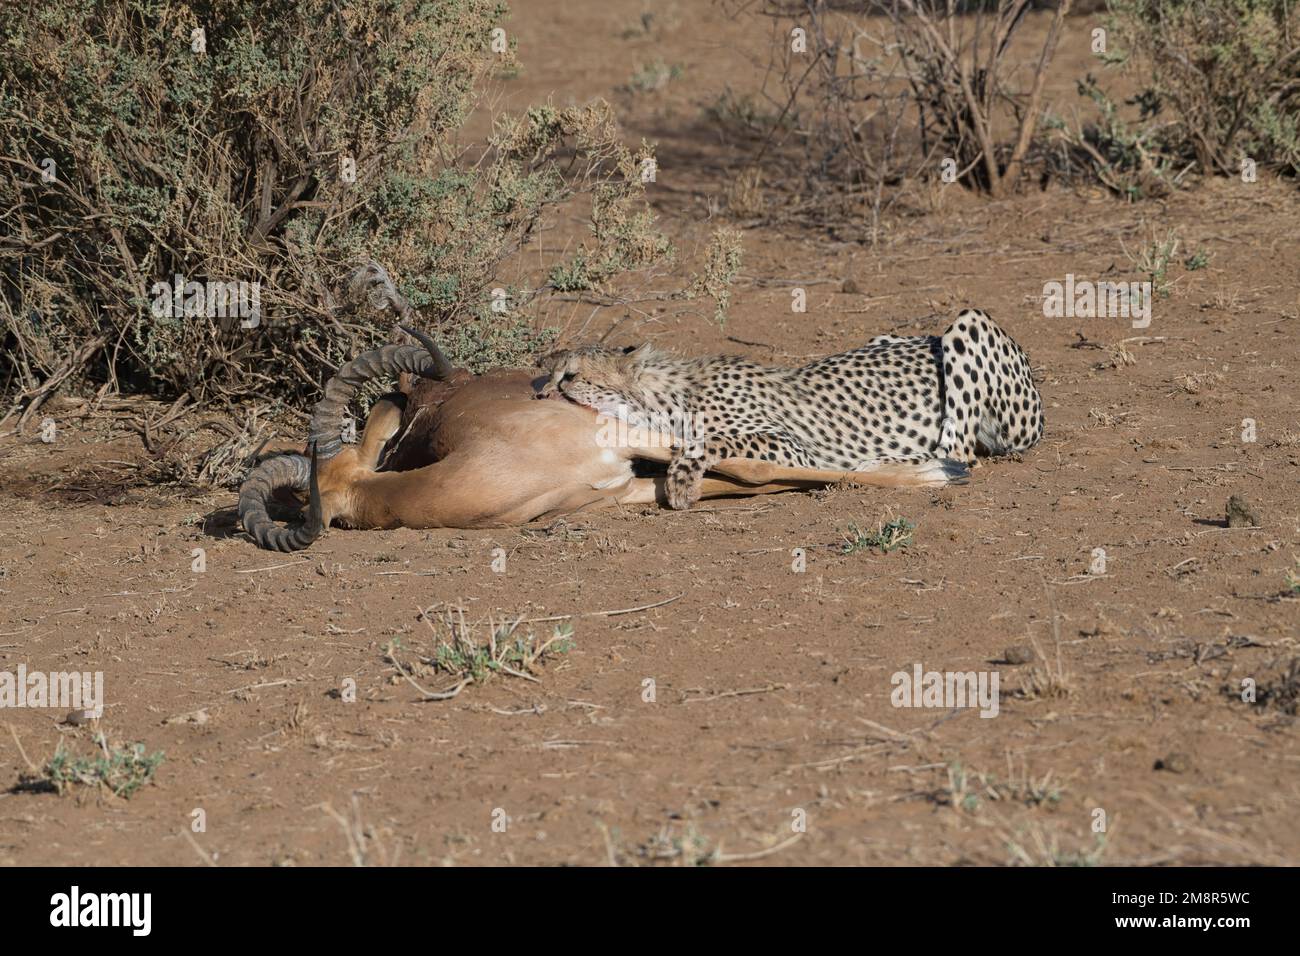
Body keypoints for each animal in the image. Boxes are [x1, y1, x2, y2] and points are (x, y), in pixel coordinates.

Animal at [540, 310, 1045, 512]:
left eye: (569, 375)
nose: (542, 393)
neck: (665, 395)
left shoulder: (792, 448)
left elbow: (711, 438)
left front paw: (682, 481)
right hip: (882, 336)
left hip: (968, 321)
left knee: (959, 451)